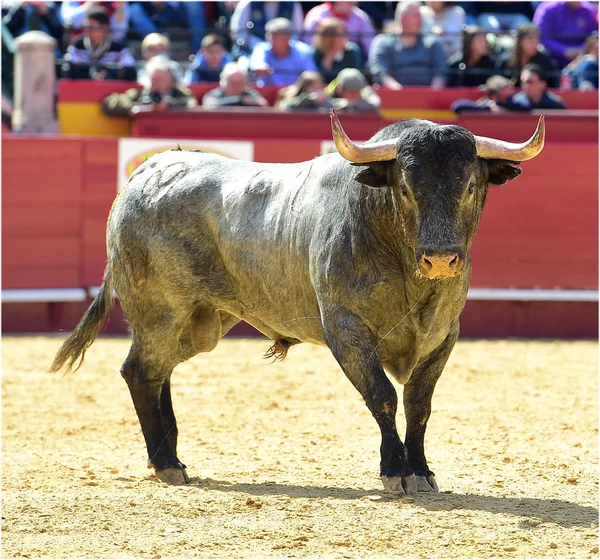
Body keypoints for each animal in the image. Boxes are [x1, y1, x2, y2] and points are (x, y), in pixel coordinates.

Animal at [51, 109, 544, 494]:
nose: (441, 258)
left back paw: (169, 457)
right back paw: (166, 464)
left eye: (470, 186)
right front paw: (396, 471)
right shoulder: (345, 327)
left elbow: (419, 404)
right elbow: (383, 396)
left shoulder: (444, 334)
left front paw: (421, 470)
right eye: (405, 188)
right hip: (160, 311)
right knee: (139, 371)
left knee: (159, 373)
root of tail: (145, 173)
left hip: (201, 322)